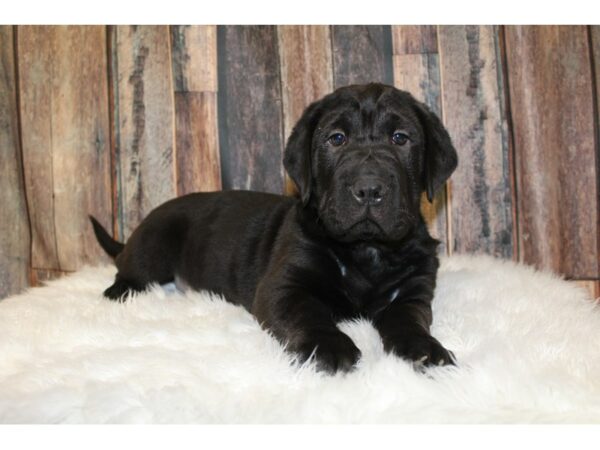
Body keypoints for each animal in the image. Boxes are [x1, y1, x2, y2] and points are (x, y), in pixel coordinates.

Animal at [91, 83, 460, 372]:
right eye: (336, 139)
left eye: (401, 138)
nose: (368, 188)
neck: (366, 250)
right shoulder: (283, 287)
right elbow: (309, 314)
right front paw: (329, 348)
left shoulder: (412, 293)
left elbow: (408, 321)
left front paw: (426, 350)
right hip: (155, 243)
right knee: (128, 269)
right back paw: (119, 293)